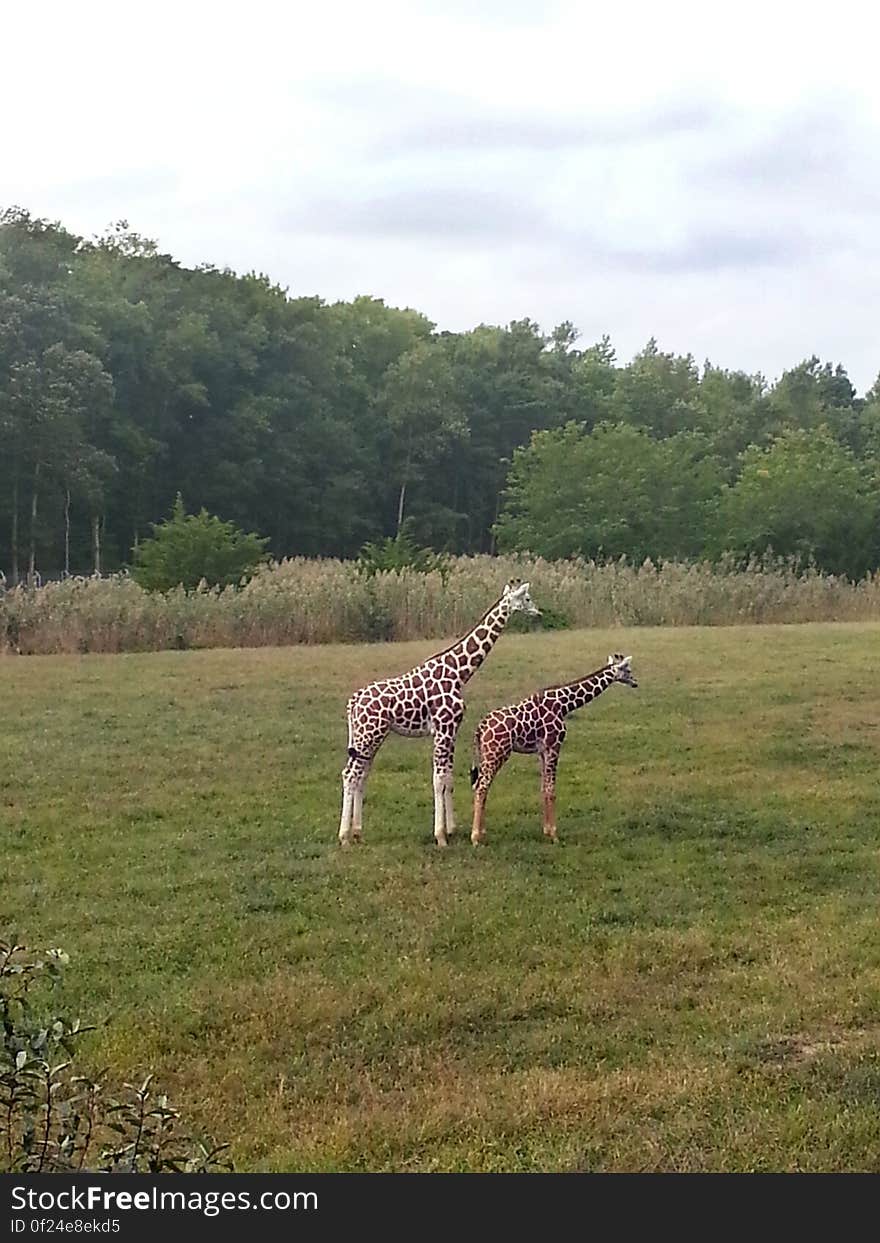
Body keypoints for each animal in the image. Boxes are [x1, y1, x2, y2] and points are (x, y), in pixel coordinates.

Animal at [338, 579, 539, 845]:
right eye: (527, 598)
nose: (538, 611)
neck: (459, 672)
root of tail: (353, 701)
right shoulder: (443, 728)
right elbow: (439, 779)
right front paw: (440, 836)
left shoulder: (451, 730)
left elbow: (449, 778)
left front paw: (451, 829)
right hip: (368, 734)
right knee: (350, 775)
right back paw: (344, 837)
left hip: (371, 736)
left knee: (361, 775)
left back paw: (357, 832)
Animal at [469, 651, 636, 845]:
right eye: (628, 670)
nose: (635, 682)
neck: (564, 704)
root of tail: (480, 728)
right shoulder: (554, 746)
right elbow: (551, 791)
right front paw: (554, 835)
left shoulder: (542, 751)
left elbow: (543, 789)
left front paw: (546, 831)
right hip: (496, 753)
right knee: (481, 787)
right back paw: (475, 837)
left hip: (486, 754)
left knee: (481, 786)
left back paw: (482, 832)